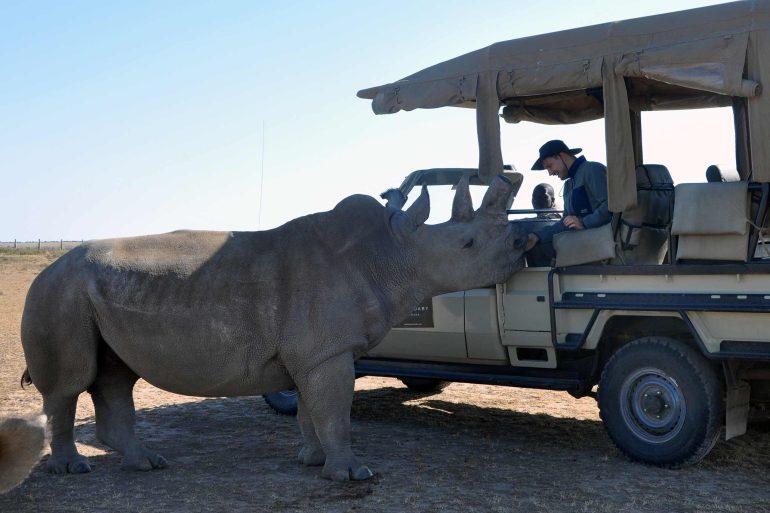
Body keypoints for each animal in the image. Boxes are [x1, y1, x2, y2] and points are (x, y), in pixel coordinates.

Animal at [21, 173, 526, 481]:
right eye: (468, 243)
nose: (523, 246)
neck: (397, 253)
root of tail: (45, 270)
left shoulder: (313, 353)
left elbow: (311, 412)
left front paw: (313, 461)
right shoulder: (328, 352)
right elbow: (335, 411)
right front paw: (352, 474)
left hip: (87, 297)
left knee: (115, 377)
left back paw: (146, 464)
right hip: (57, 293)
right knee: (69, 384)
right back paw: (73, 470)